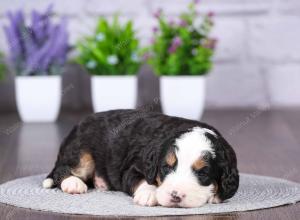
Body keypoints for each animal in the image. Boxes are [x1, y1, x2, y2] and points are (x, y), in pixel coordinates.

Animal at [42, 109, 239, 208]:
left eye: (203, 173)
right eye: (166, 168)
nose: (175, 196)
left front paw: (216, 196)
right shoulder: (132, 168)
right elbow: (142, 180)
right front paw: (149, 194)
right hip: (81, 152)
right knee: (63, 169)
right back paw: (73, 184)